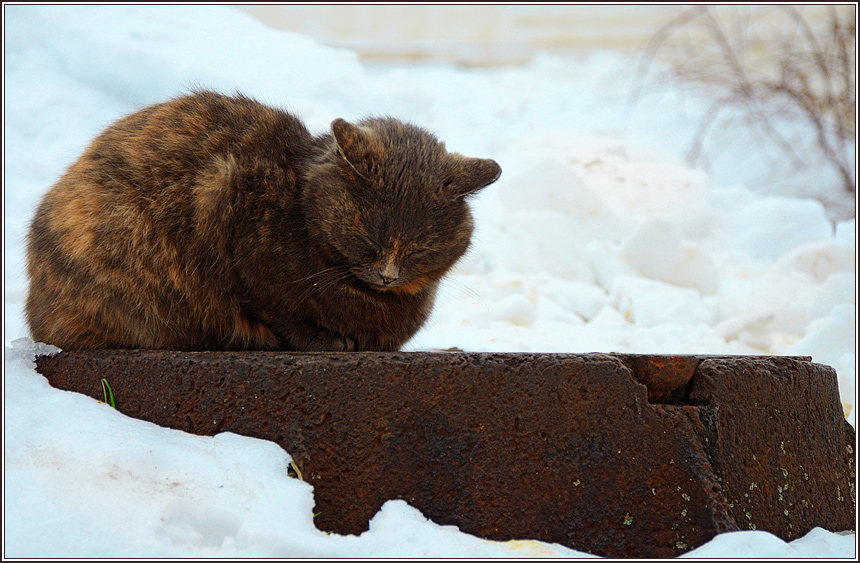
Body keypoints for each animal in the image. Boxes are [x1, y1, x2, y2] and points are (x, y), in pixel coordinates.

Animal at [26, 90, 500, 350]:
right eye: (367, 237)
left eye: (421, 248)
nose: (388, 274)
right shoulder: (233, 210)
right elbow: (281, 309)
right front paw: (324, 340)